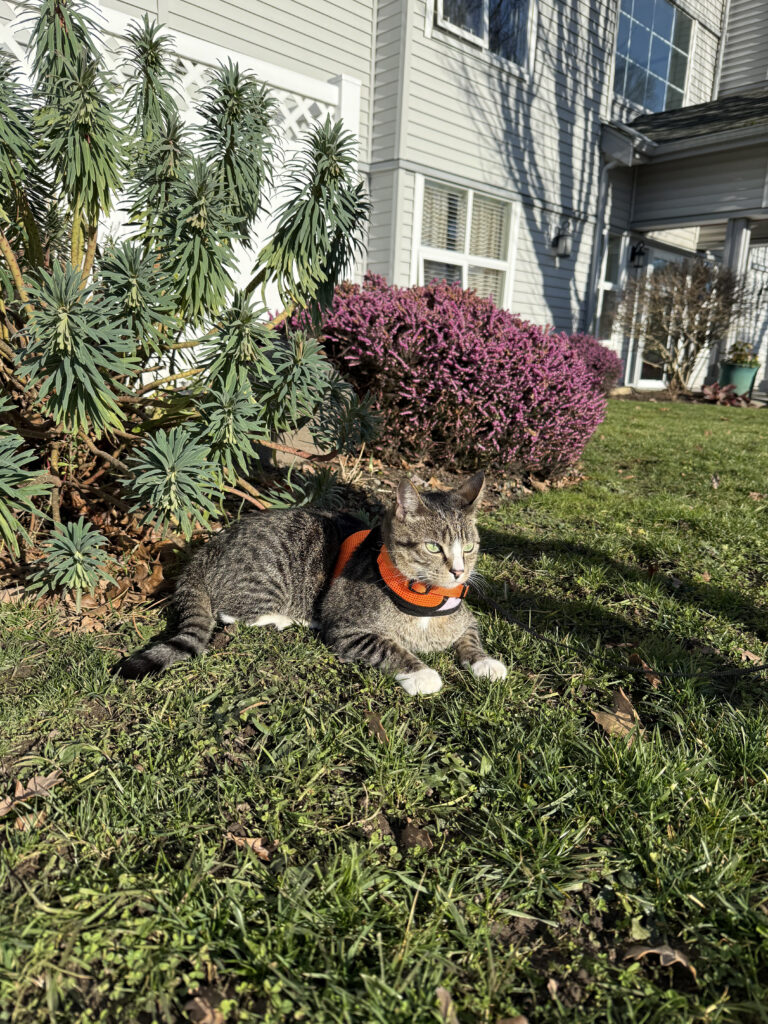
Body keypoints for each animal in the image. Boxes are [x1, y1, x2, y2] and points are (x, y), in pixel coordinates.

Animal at [117, 471, 507, 696]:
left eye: (469, 547)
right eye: (433, 547)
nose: (459, 572)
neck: (424, 599)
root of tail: (206, 549)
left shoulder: (466, 617)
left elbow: (470, 636)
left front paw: (484, 662)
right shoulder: (347, 629)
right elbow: (389, 647)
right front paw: (423, 674)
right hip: (268, 578)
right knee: (230, 611)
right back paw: (286, 618)